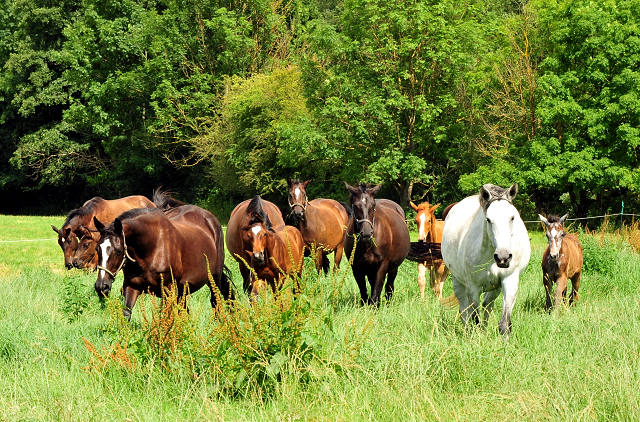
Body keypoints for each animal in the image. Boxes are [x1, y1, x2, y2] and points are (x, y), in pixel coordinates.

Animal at [90, 205, 230, 320]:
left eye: (118, 251)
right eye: (97, 249)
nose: (101, 286)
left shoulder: (168, 289)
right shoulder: (132, 286)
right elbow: (126, 313)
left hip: (214, 279)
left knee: (215, 300)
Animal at [440, 183, 528, 338]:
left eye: (512, 217)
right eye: (488, 219)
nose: (503, 257)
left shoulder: (510, 281)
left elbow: (504, 323)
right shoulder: (472, 287)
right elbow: (474, 318)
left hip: (494, 288)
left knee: (487, 305)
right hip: (458, 282)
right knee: (465, 311)